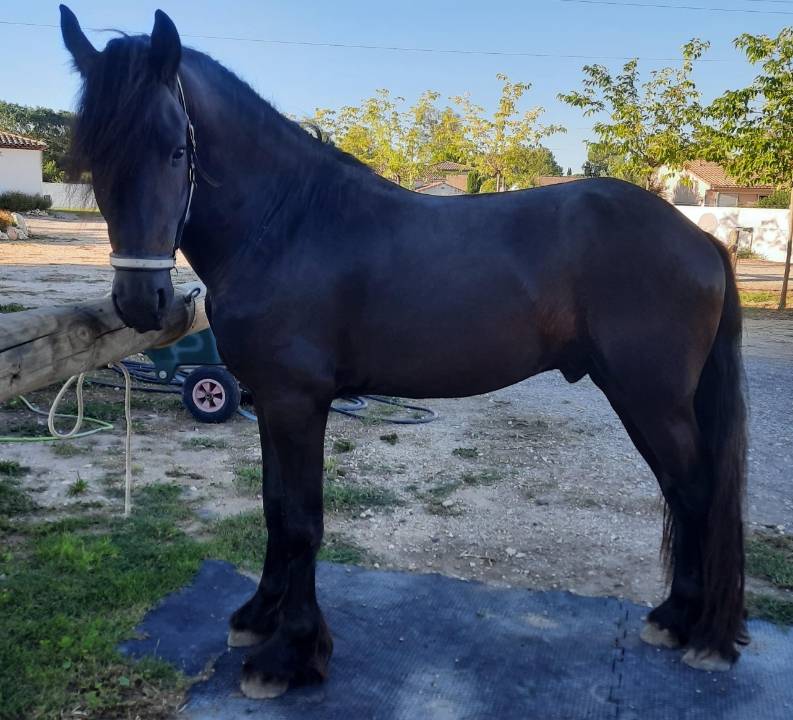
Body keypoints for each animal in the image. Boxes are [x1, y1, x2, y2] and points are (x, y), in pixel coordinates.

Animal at [60, 5, 748, 700]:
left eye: (177, 149)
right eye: (91, 158)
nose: (141, 302)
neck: (286, 225)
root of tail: (700, 239)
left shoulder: (297, 403)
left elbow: (301, 520)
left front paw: (290, 656)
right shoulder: (270, 401)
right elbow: (275, 509)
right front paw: (258, 619)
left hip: (651, 400)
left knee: (695, 491)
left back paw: (693, 630)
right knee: (682, 491)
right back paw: (677, 619)